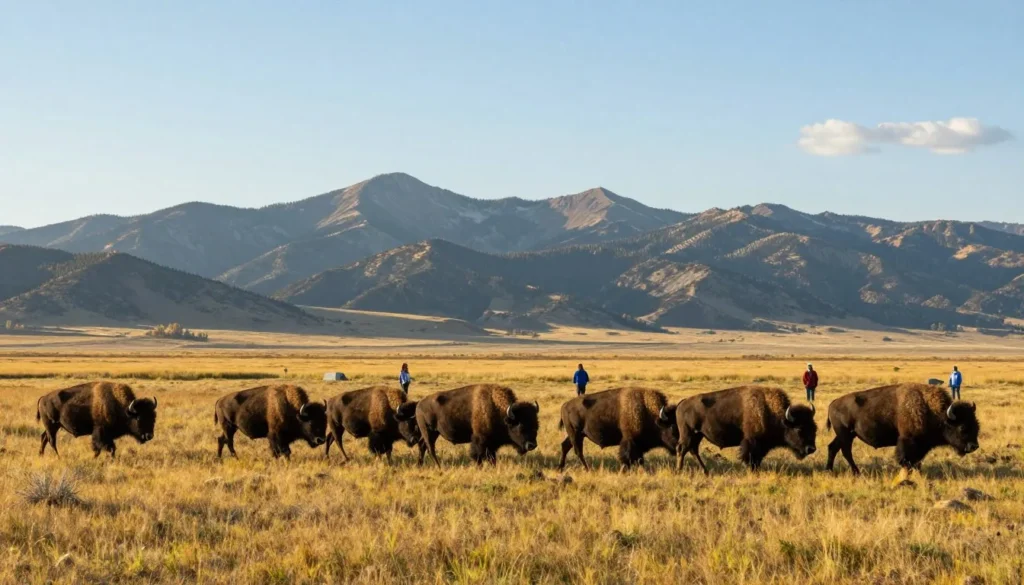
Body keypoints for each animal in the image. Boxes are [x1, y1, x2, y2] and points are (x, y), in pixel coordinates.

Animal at [661, 385, 817, 473]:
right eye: (799, 429)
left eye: (814, 428)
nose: (811, 449)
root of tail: (681, 403)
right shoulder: (752, 443)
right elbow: (750, 457)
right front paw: (751, 471)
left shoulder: (761, 446)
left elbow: (757, 459)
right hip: (688, 434)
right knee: (682, 449)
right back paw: (679, 470)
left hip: (697, 435)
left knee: (693, 450)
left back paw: (705, 471)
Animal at [825, 383, 979, 476]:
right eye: (962, 427)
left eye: (977, 425)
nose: (974, 446)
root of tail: (833, 403)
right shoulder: (907, 441)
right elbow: (906, 459)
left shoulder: (922, 446)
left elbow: (917, 460)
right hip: (845, 434)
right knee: (846, 451)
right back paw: (856, 472)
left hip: (847, 435)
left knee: (833, 447)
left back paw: (829, 470)